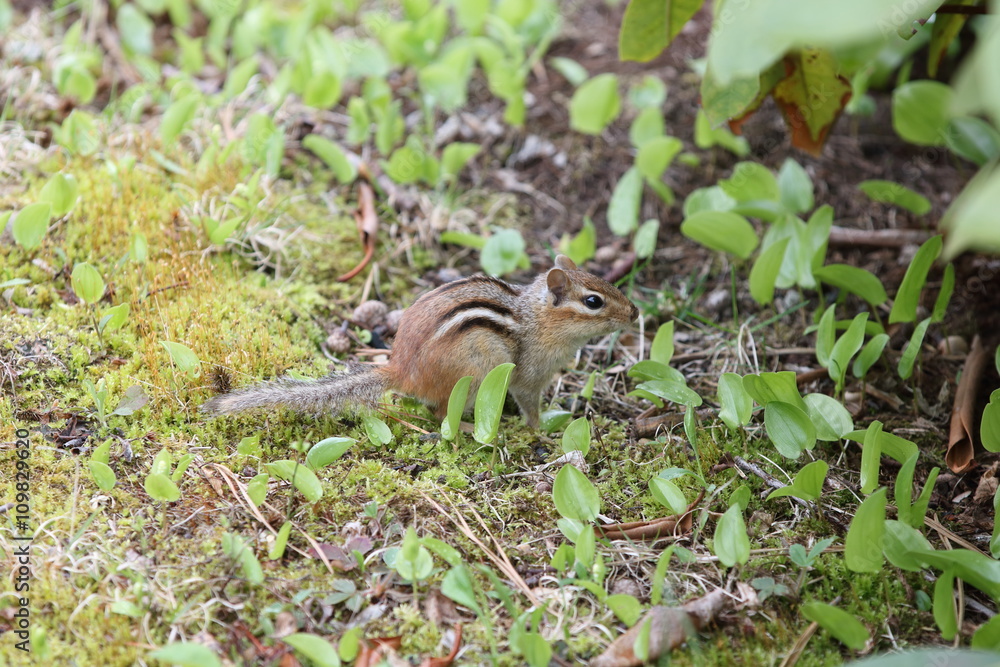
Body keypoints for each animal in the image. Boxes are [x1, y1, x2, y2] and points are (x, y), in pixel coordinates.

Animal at [202, 255, 639, 428]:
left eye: (605, 282)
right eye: (594, 301)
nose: (635, 313)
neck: (537, 319)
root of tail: (401, 370)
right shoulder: (529, 376)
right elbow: (530, 405)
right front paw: (541, 427)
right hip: (475, 371)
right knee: (441, 414)